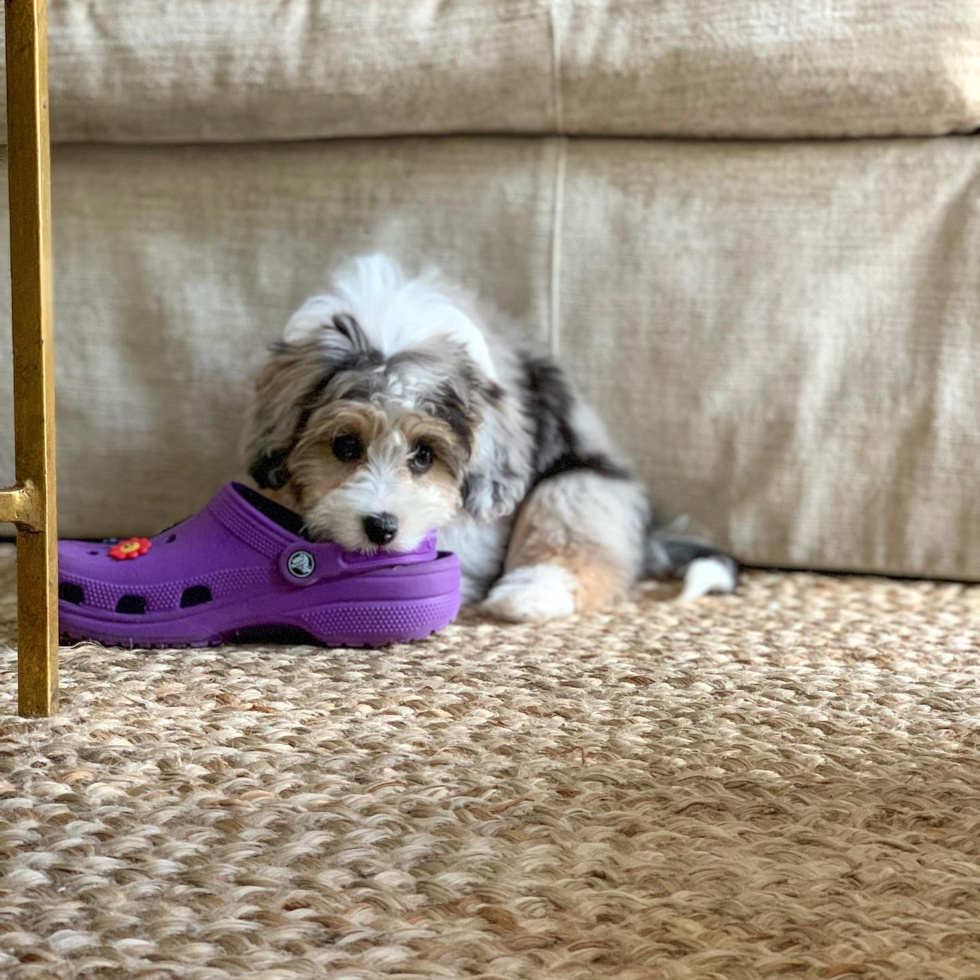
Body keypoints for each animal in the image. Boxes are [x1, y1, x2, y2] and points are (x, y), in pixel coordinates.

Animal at [243, 253, 736, 620]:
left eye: (423, 455)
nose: (382, 528)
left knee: (573, 544)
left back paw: (528, 596)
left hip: (580, 486)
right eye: (345, 446)